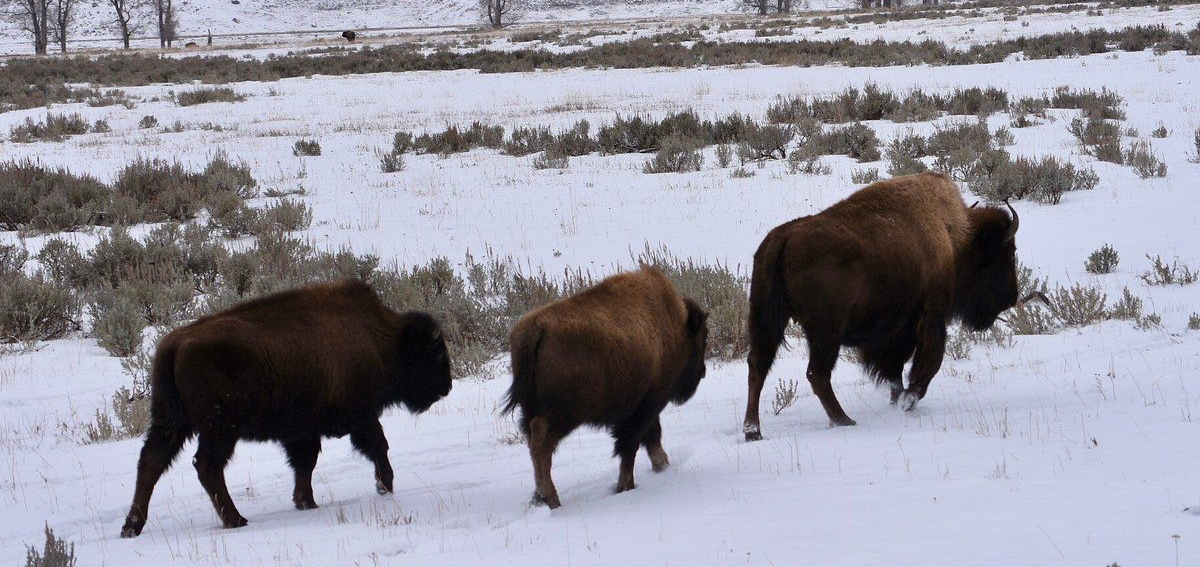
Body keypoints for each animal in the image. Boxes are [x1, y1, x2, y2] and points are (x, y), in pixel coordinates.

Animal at [120, 280, 452, 537]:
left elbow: (304, 463)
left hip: (171, 422)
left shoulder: (303, 431)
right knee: (207, 466)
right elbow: (377, 445)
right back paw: (236, 520)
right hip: (221, 428)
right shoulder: (362, 415)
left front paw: (306, 502)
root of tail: (175, 344)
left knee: (150, 463)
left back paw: (131, 527)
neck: (381, 338)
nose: (446, 386)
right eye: (436, 354)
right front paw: (385, 486)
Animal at [502, 267, 708, 508]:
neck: (675, 325)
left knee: (533, 441)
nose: (702, 372)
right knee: (541, 440)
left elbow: (651, 437)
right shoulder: (646, 405)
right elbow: (631, 445)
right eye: (703, 338)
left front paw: (661, 465)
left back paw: (539, 498)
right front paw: (625, 486)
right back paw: (552, 499)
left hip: (532, 407)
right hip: (568, 412)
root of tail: (535, 329)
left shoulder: (644, 408)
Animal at [743, 172, 1031, 440]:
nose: (1010, 298)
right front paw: (908, 400)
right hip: (825, 331)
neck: (952, 238)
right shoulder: (929, 318)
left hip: (768, 319)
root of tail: (782, 239)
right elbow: (928, 361)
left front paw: (898, 400)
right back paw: (844, 420)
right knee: (817, 374)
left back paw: (753, 431)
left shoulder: (894, 332)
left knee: (758, 367)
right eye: (1007, 254)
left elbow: (894, 370)